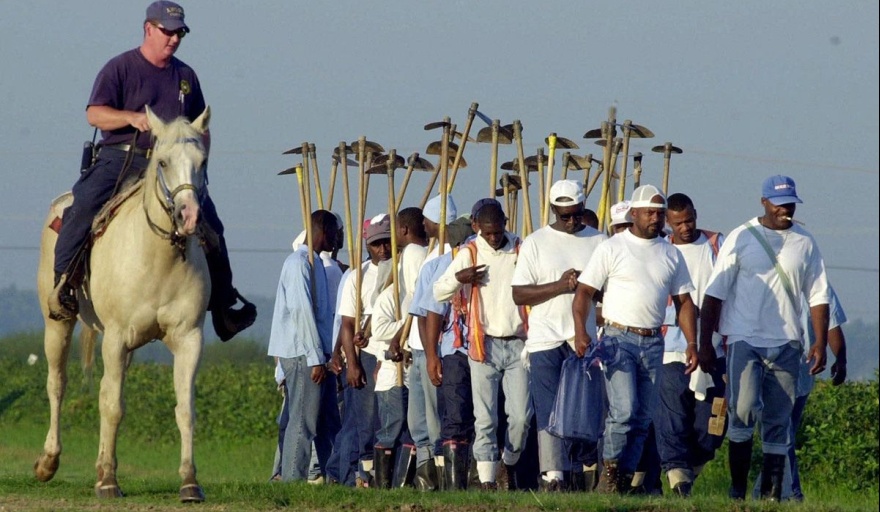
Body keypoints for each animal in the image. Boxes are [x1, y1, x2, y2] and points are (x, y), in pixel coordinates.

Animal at [34, 106, 215, 502]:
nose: (190, 216)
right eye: (162, 162)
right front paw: (108, 482)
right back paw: (48, 462)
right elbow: (113, 407)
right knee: (58, 384)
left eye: (203, 161)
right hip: (58, 323)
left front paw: (189, 481)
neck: (158, 257)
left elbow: (185, 409)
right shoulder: (115, 337)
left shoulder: (189, 339)